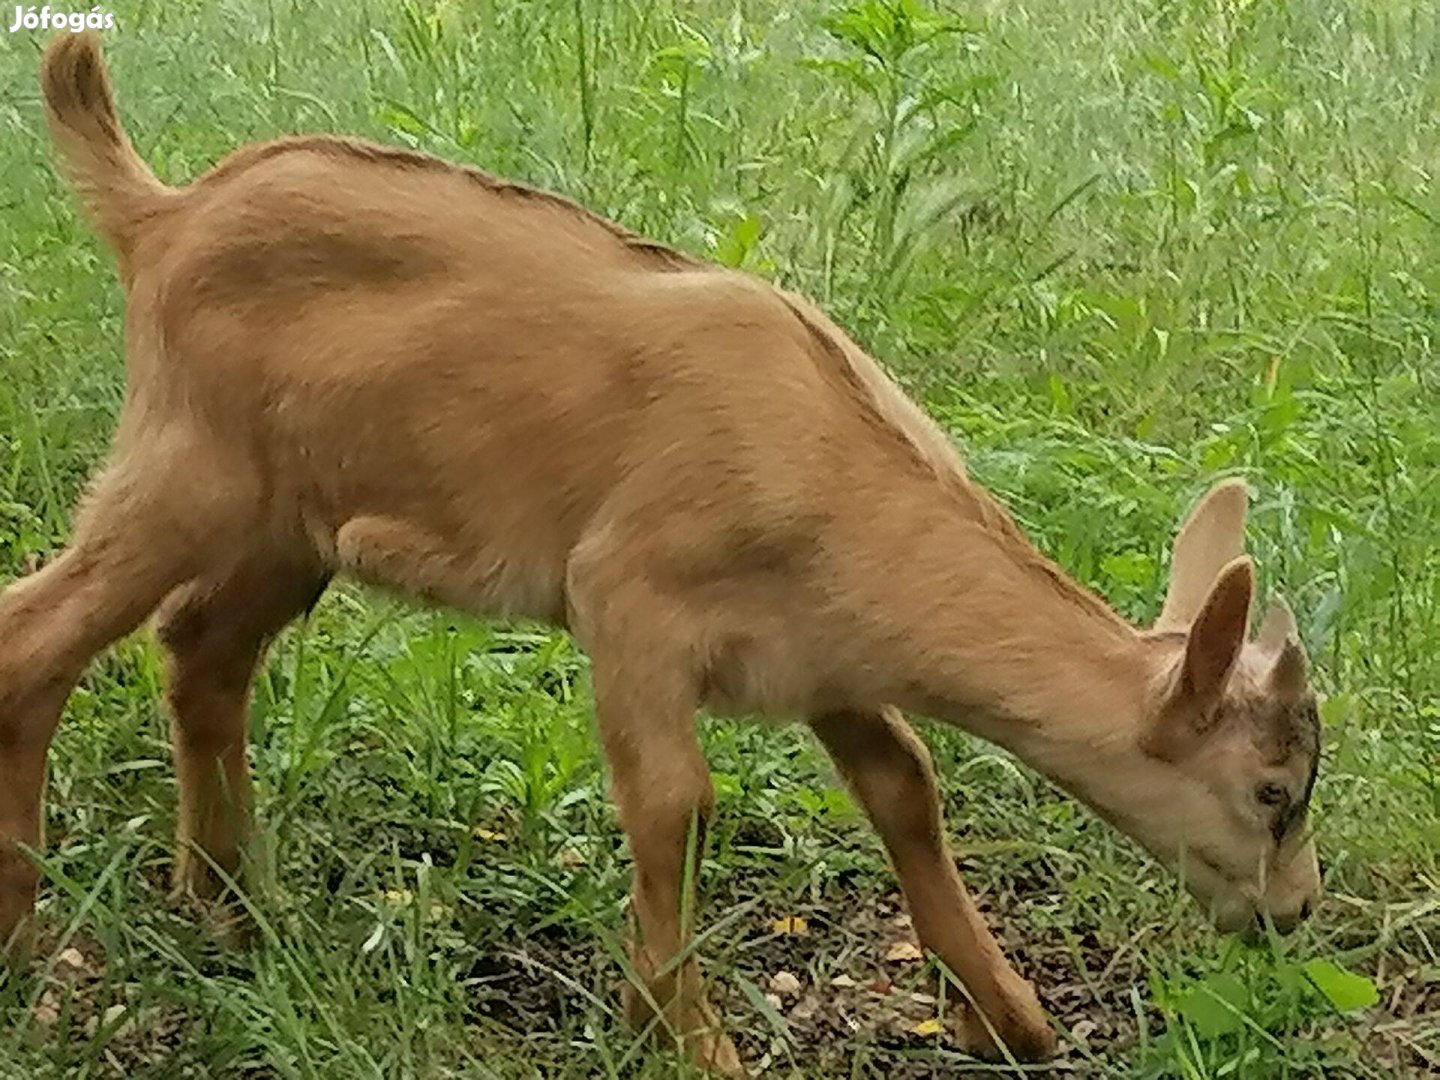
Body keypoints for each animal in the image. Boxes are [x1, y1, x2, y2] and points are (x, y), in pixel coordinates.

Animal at [2, 31, 1324, 1077]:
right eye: (1273, 792)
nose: (1296, 911)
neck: (830, 468)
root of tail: (163, 213)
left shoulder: (824, 658)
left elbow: (906, 785)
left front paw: (1010, 1020)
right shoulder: (628, 600)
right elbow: (678, 806)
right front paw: (683, 1036)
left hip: (294, 525)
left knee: (200, 649)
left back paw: (232, 914)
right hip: (189, 465)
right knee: (35, 639)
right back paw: (27, 944)